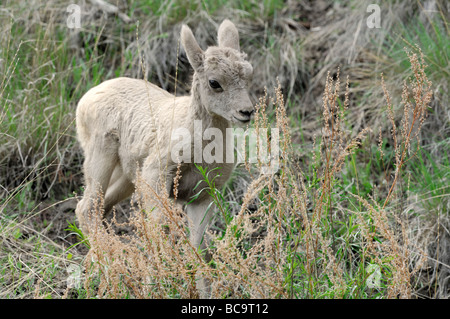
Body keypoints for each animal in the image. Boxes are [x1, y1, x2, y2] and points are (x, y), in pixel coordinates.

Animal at [75, 20, 255, 254]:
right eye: (214, 82)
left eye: (249, 75)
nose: (246, 112)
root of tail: (87, 97)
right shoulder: (157, 175)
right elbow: (158, 227)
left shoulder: (203, 195)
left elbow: (197, 244)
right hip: (101, 157)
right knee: (86, 208)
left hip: (127, 175)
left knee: (101, 205)